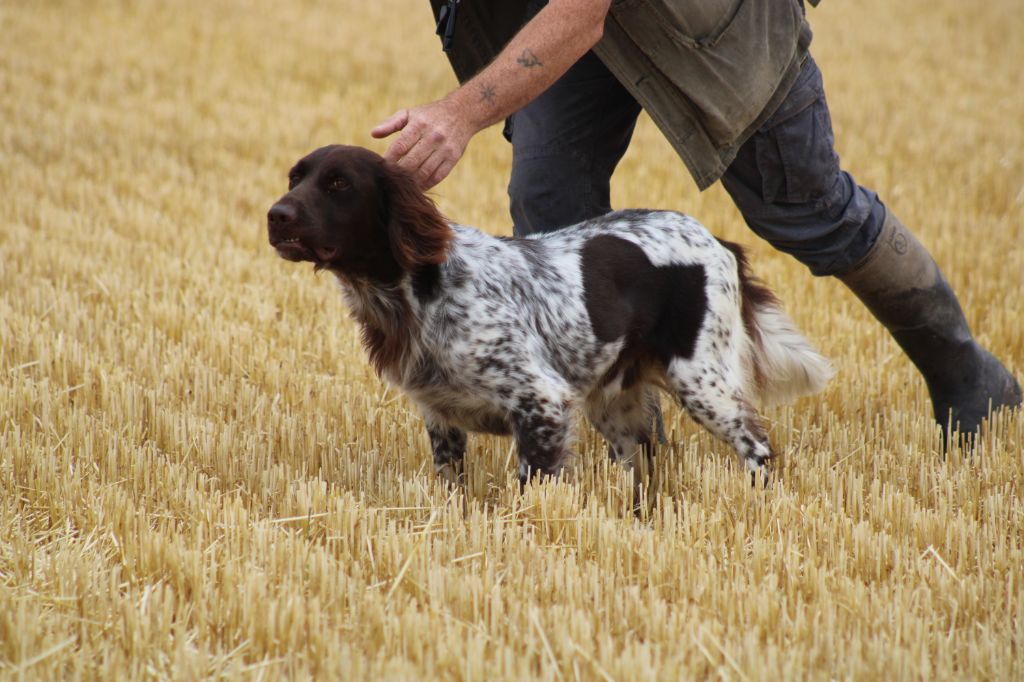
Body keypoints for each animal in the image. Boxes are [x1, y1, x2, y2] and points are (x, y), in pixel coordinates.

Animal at [266, 144, 831, 483]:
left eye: (339, 184)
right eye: (296, 177)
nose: (276, 215)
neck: (417, 290)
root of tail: (719, 242)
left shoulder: (541, 402)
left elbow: (529, 487)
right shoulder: (440, 415)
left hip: (701, 380)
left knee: (756, 445)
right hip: (614, 402)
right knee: (642, 467)